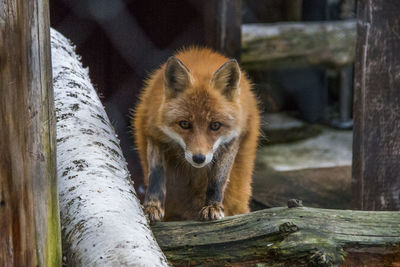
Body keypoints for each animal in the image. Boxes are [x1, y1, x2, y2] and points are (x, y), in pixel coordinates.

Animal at [133, 47, 260, 222]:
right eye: (184, 124)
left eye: (215, 125)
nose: (199, 158)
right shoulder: (154, 134)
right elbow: (156, 176)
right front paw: (152, 206)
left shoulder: (232, 140)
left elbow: (217, 180)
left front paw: (213, 206)